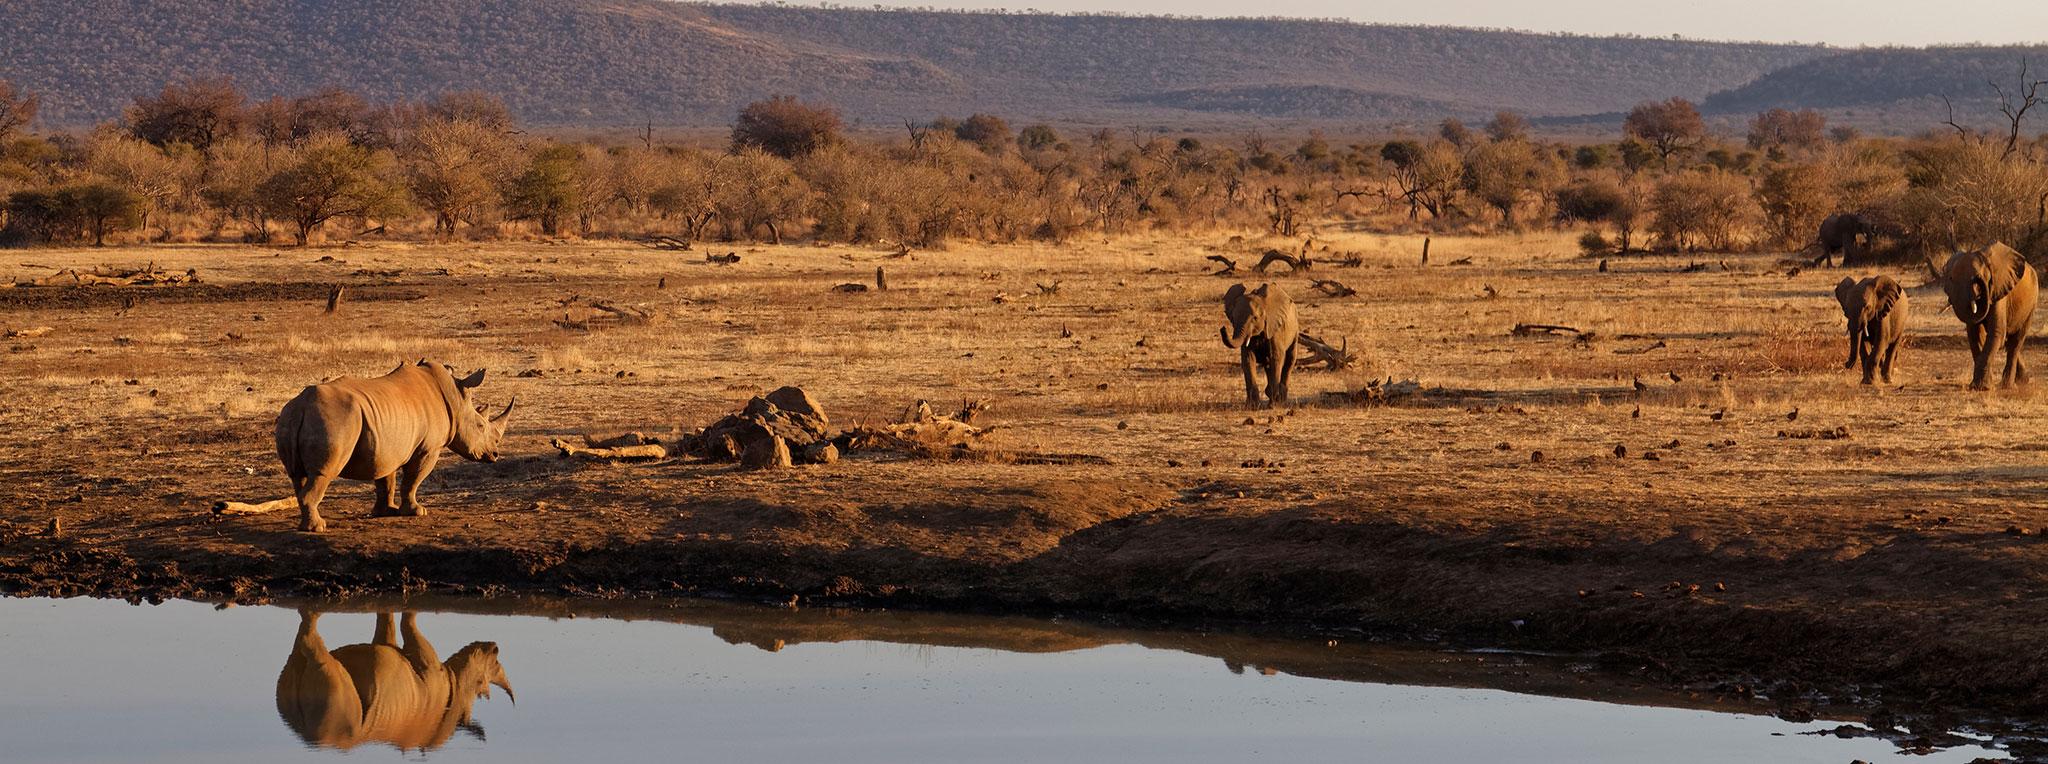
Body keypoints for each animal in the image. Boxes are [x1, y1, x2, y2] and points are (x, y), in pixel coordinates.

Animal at [277, 360, 513, 532]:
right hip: (334, 420)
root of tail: (301, 407)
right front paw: (417, 511)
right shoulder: (428, 449)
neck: (454, 400)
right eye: (480, 426)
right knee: (323, 473)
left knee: (297, 475)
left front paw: (386, 512)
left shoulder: (385, 447)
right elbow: (412, 481)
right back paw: (317, 528)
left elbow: (386, 481)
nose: (495, 454)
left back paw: (306, 523)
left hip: (289, 419)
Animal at [277, 610, 513, 752]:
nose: (493, 645)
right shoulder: (427, 665)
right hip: (335, 712)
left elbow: (386, 624)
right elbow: (409, 623)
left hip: (294, 702)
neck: (455, 684)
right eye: (481, 681)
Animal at [1942, 242, 2039, 390]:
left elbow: (1996, 332)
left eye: (1978, 278)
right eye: (1951, 279)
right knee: (2009, 342)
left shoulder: (1999, 290)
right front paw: (1979, 386)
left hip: (2031, 302)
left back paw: (2007, 386)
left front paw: (1982, 387)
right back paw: (2023, 381)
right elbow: (1975, 334)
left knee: (2015, 342)